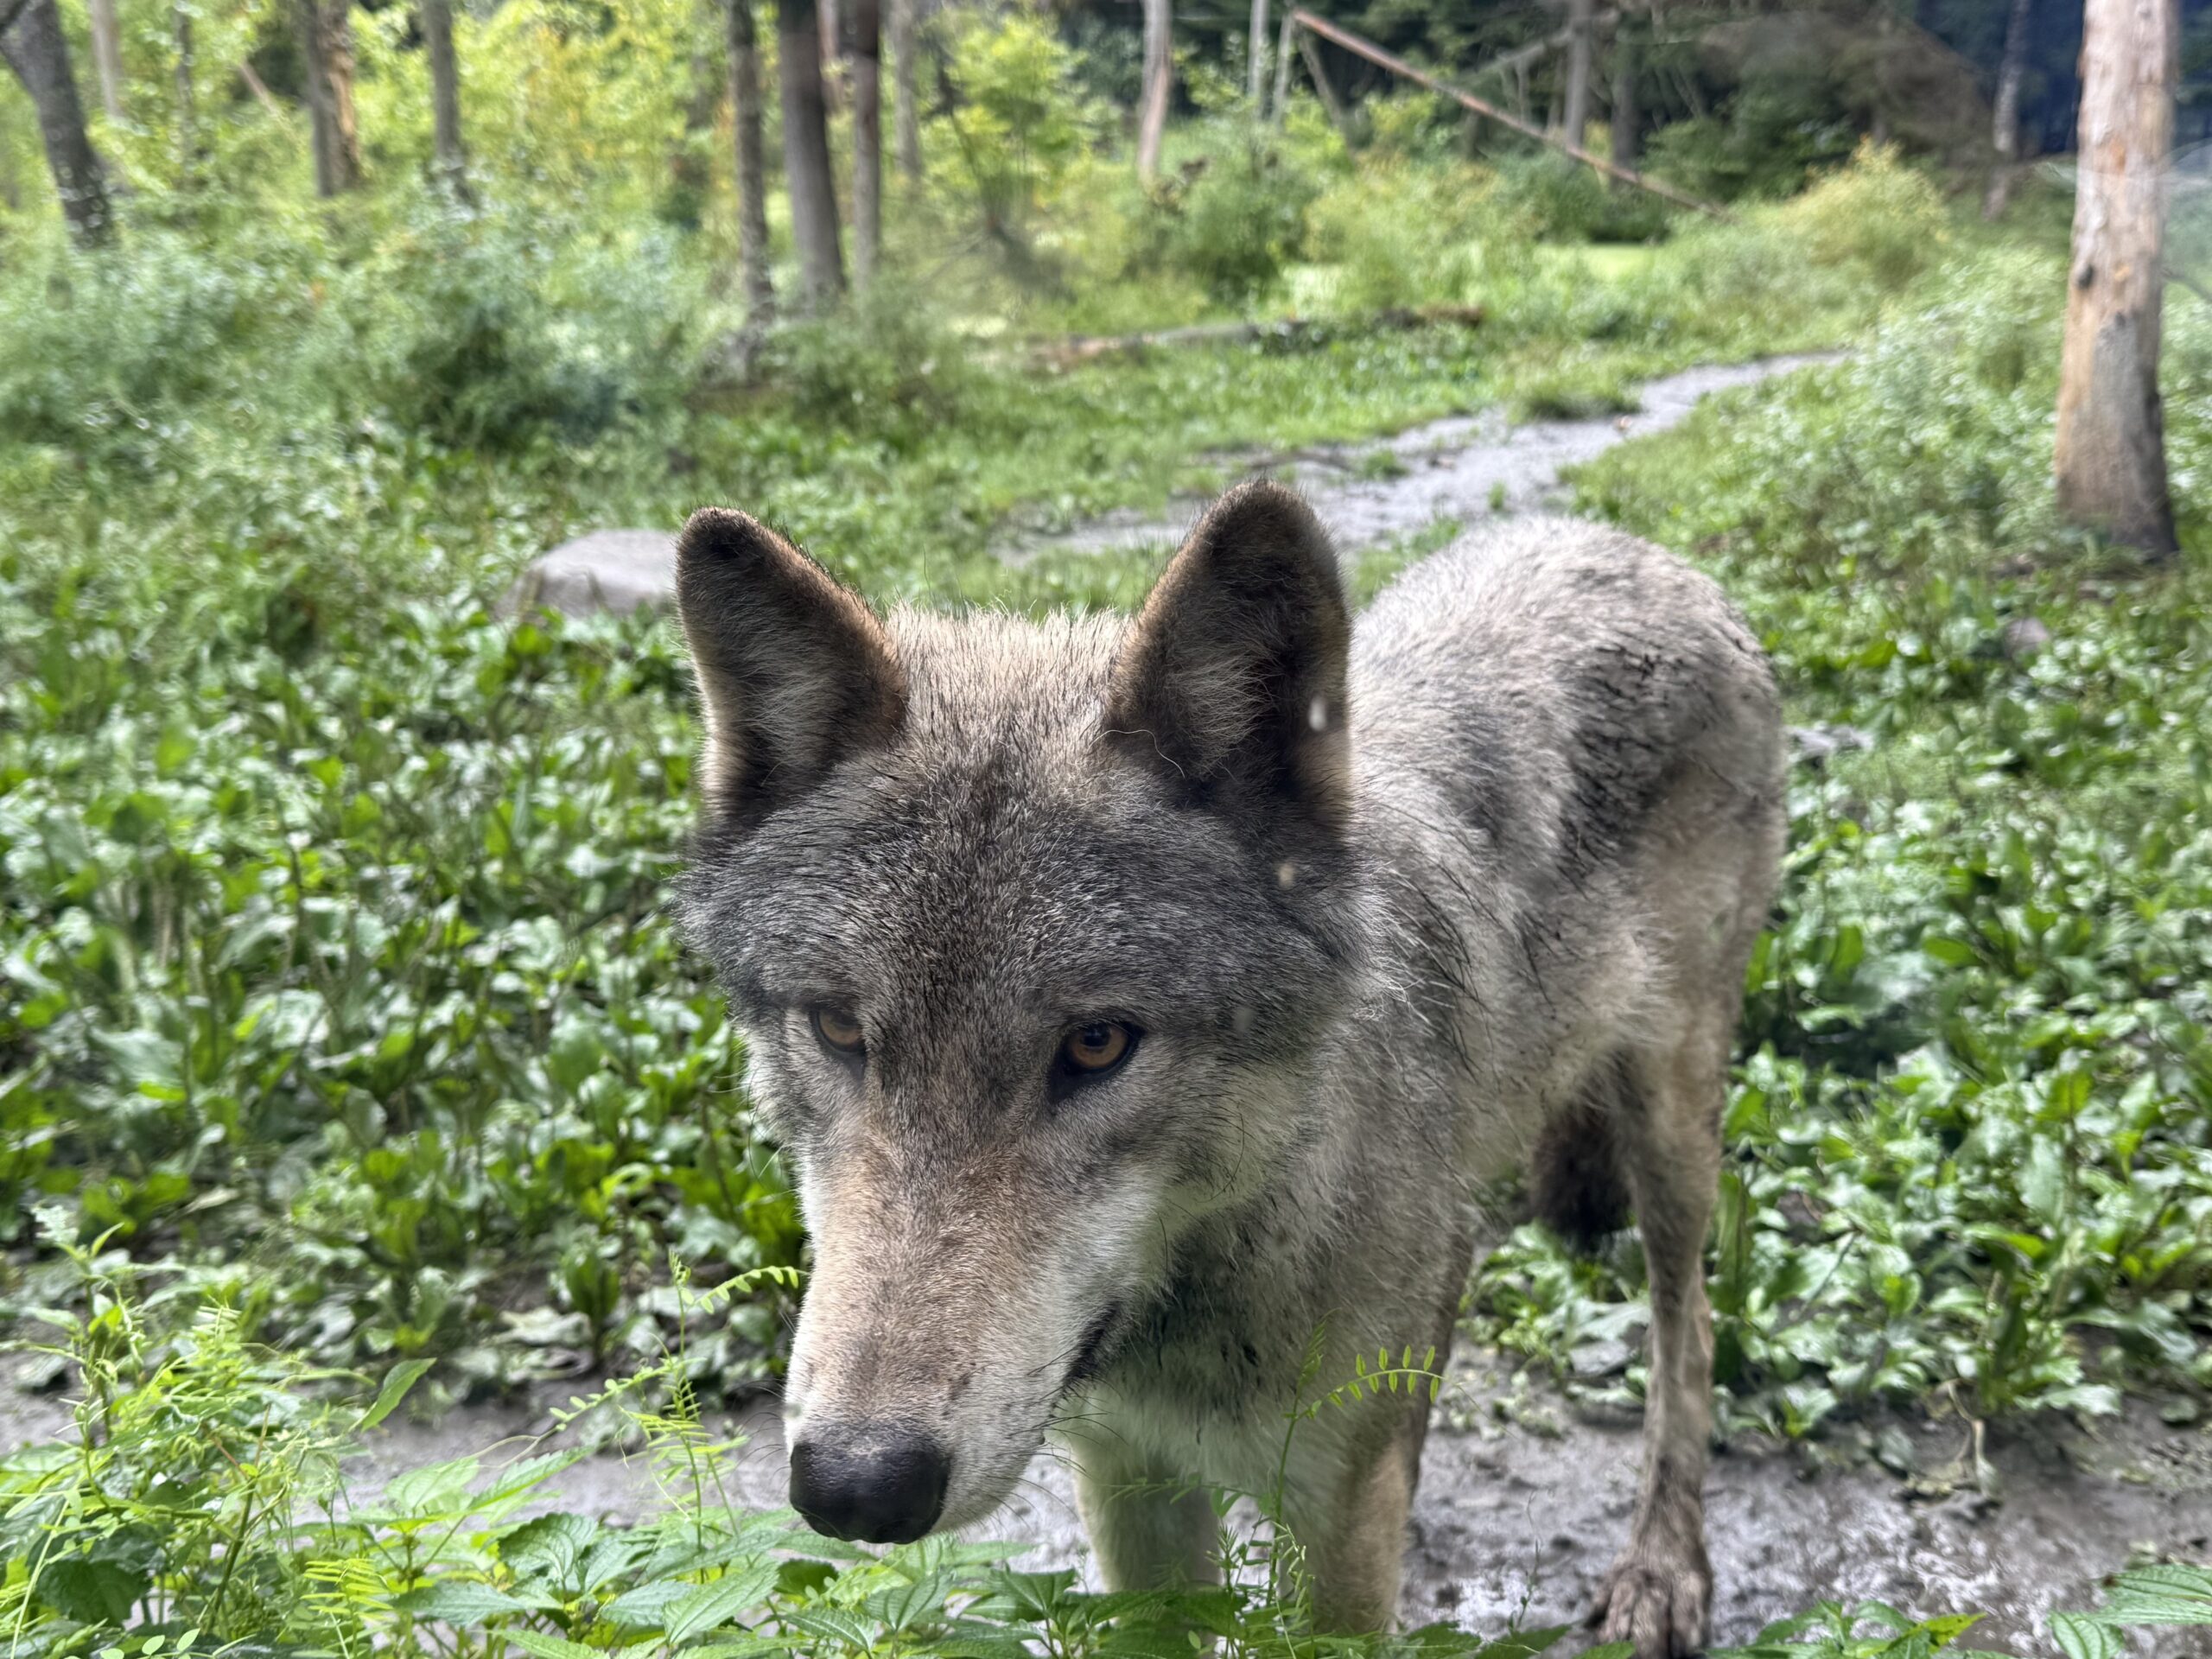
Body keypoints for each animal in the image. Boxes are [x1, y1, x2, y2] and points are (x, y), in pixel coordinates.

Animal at [673, 482, 1785, 1659]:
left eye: (1098, 1043)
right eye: (839, 1029)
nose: (854, 1487)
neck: (1202, 1303)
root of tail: (1628, 547)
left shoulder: (1342, 1521)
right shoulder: (1129, 1487)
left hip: (1674, 1127)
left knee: (1686, 1327)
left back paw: (1663, 1567)